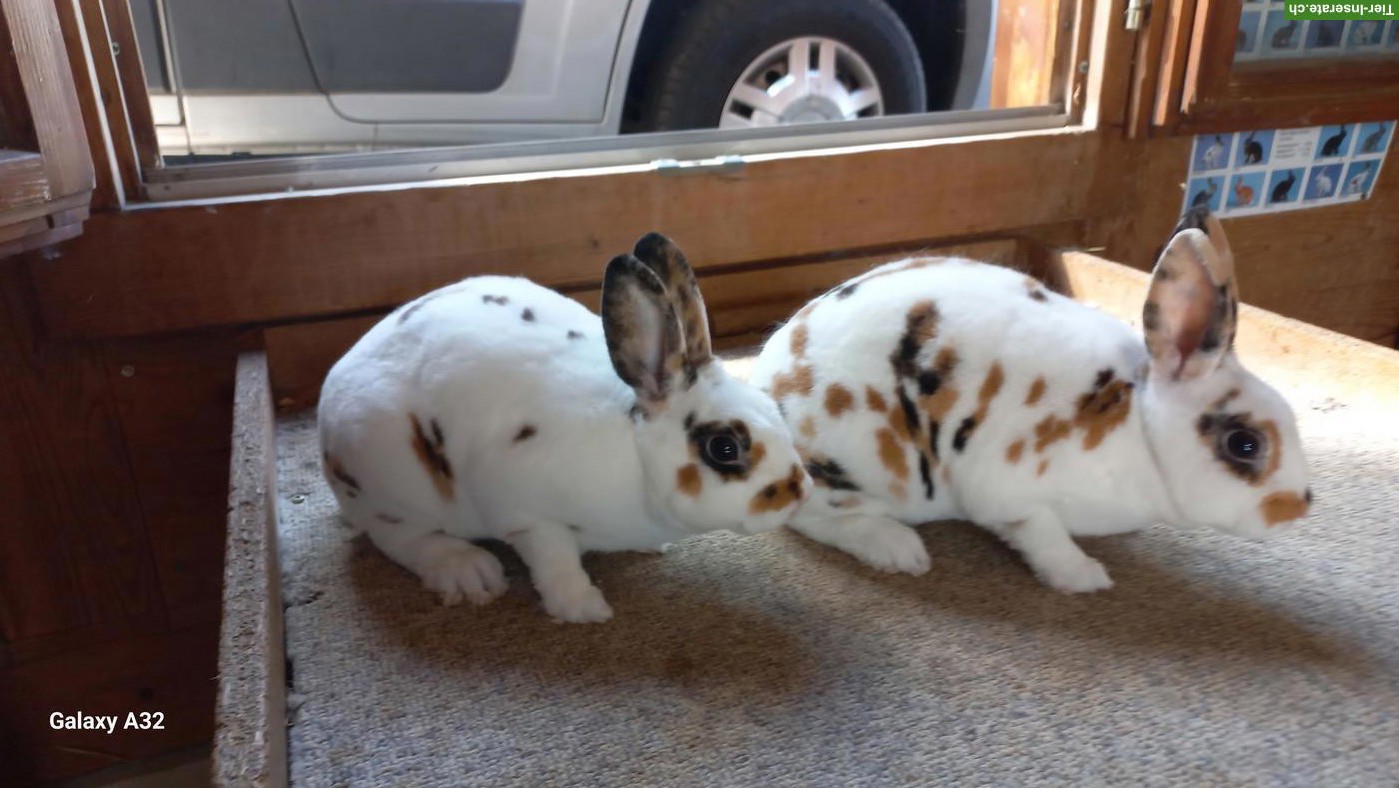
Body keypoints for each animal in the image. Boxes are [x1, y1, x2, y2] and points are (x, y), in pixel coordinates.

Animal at [318, 233, 810, 622]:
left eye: (772, 408)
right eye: (724, 448)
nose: (798, 491)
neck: (634, 455)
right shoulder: (530, 518)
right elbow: (556, 565)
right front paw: (585, 609)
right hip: (394, 484)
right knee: (400, 537)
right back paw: (469, 571)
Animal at [748, 207, 1311, 592]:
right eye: (1244, 444)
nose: (1301, 505)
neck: (1140, 433)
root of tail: (766, 387)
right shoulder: (1012, 497)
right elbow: (1043, 537)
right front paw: (1086, 576)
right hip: (865, 468)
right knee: (817, 517)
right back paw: (900, 550)